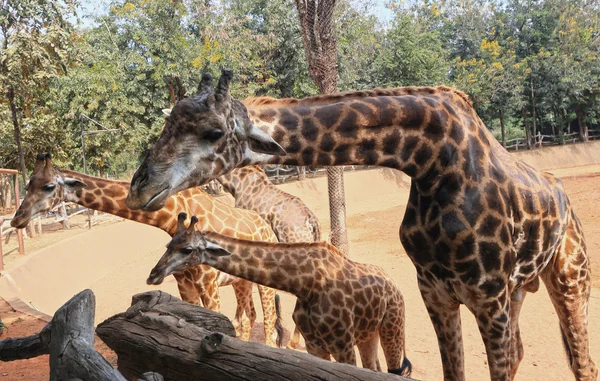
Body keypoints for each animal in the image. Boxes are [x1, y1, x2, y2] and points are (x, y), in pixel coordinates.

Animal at [11, 153, 284, 346]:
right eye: (28, 185)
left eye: (48, 186)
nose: (17, 219)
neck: (171, 215)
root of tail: (268, 229)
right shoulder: (184, 282)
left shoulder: (208, 283)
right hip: (241, 282)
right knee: (247, 318)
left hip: (263, 283)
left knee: (268, 323)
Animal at [147, 212, 412, 376]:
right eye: (168, 245)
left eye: (187, 249)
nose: (153, 275)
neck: (305, 283)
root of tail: (396, 286)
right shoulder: (315, 345)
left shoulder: (343, 345)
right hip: (369, 335)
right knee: (375, 368)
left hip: (392, 326)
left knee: (395, 370)